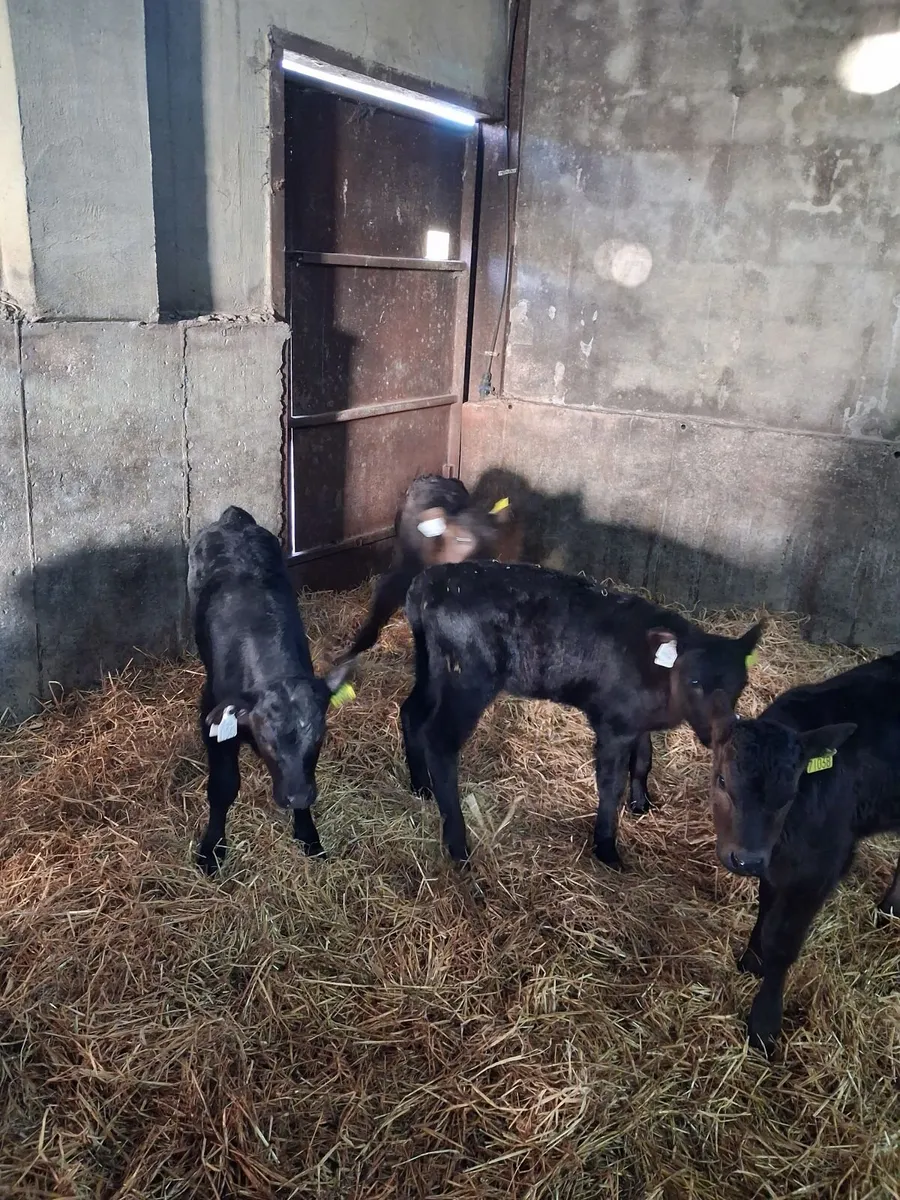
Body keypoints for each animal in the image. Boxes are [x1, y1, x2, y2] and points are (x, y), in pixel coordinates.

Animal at [188, 506, 352, 874]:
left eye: (319, 736)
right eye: (267, 740)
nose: (298, 797)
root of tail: (233, 518)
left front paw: (308, 834)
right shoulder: (212, 718)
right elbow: (222, 786)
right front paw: (212, 849)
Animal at [400, 560, 764, 868]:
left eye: (740, 684)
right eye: (694, 681)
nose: (720, 731)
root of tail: (427, 583)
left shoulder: (636, 718)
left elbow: (644, 759)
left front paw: (641, 804)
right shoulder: (614, 724)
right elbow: (610, 784)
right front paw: (606, 849)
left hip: (431, 666)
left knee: (411, 713)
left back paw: (421, 786)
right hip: (469, 677)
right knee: (440, 741)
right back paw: (458, 847)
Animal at [707, 652, 900, 1054]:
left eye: (791, 793)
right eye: (722, 780)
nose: (746, 859)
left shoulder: (819, 869)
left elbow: (783, 941)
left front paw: (764, 1024)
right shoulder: (774, 862)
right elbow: (765, 910)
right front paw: (752, 960)